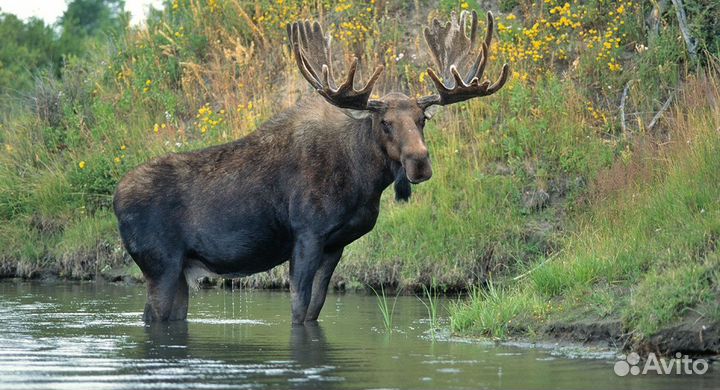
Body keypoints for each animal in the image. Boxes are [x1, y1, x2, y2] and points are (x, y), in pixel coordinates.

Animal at [112, 10, 510, 324]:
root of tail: (114, 199)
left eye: (422, 118)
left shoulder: (336, 244)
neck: (363, 183)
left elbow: (315, 308)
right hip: (160, 265)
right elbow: (299, 309)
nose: (419, 162)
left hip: (178, 271)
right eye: (385, 123)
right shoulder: (307, 235)